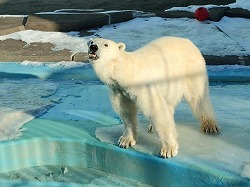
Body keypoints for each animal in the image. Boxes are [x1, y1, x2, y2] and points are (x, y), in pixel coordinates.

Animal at [87, 37, 219, 159]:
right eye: (91, 41)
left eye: (106, 44)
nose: (93, 47)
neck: (124, 71)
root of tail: (188, 41)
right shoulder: (120, 91)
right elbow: (127, 112)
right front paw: (125, 141)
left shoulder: (143, 86)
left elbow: (156, 109)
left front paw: (168, 149)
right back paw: (151, 126)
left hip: (190, 68)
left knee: (198, 96)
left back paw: (209, 126)